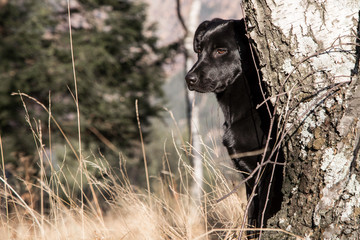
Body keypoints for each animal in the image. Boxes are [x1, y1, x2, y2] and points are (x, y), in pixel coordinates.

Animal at [186, 18, 284, 236]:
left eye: (221, 50)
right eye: (199, 49)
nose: (189, 79)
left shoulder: (267, 168)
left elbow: (262, 214)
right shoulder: (247, 173)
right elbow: (250, 219)